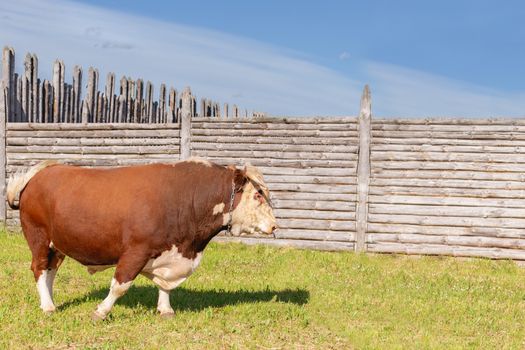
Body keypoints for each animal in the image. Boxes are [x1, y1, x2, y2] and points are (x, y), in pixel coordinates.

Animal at [6, 159, 276, 320]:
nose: (275, 224)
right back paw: (47, 305)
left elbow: (164, 285)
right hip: (38, 236)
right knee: (39, 268)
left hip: (58, 245)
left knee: (50, 270)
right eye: (258, 195)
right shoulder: (136, 251)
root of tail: (44, 171)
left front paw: (165, 309)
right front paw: (101, 312)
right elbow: (120, 285)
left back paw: (51, 302)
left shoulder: (170, 253)